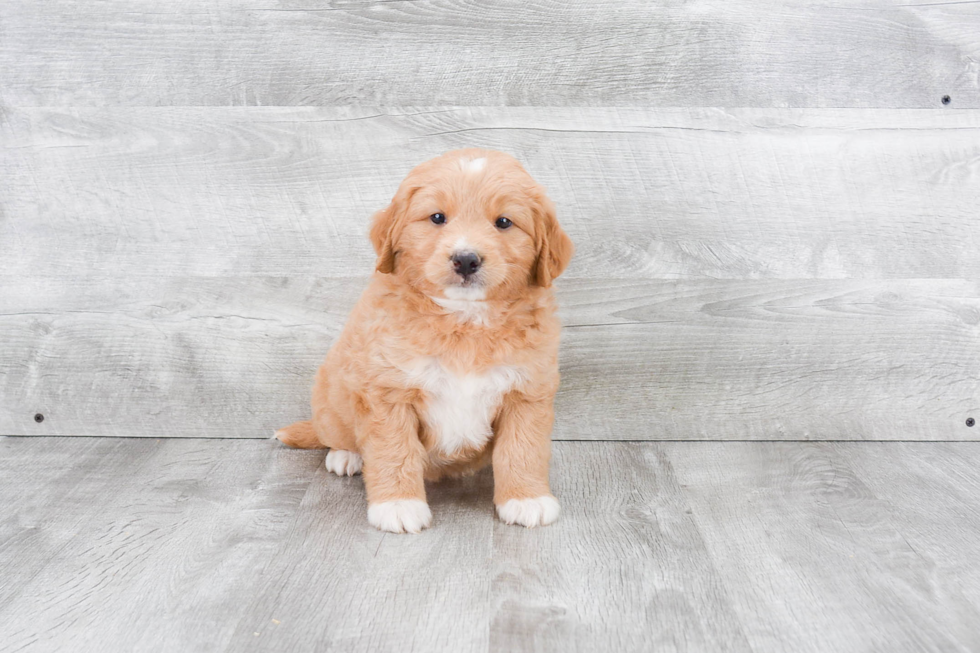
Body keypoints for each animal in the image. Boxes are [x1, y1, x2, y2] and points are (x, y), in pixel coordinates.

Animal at [274, 150, 576, 532]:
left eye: (504, 222)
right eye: (437, 217)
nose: (466, 259)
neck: (465, 322)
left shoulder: (528, 393)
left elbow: (522, 449)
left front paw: (526, 498)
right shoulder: (386, 393)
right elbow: (394, 450)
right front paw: (398, 505)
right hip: (331, 399)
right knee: (337, 435)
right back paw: (345, 456)